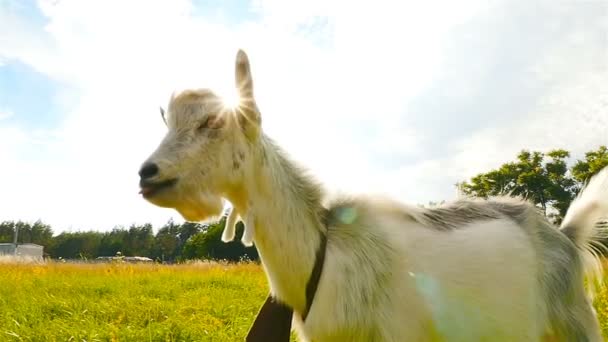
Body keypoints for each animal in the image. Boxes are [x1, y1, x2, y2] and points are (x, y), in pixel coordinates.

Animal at [139, 49, 608, 340]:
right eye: (169, 122)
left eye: (211, 123)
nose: (147, 174)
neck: (323, 253)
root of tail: (565, 235)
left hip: (573, 322)